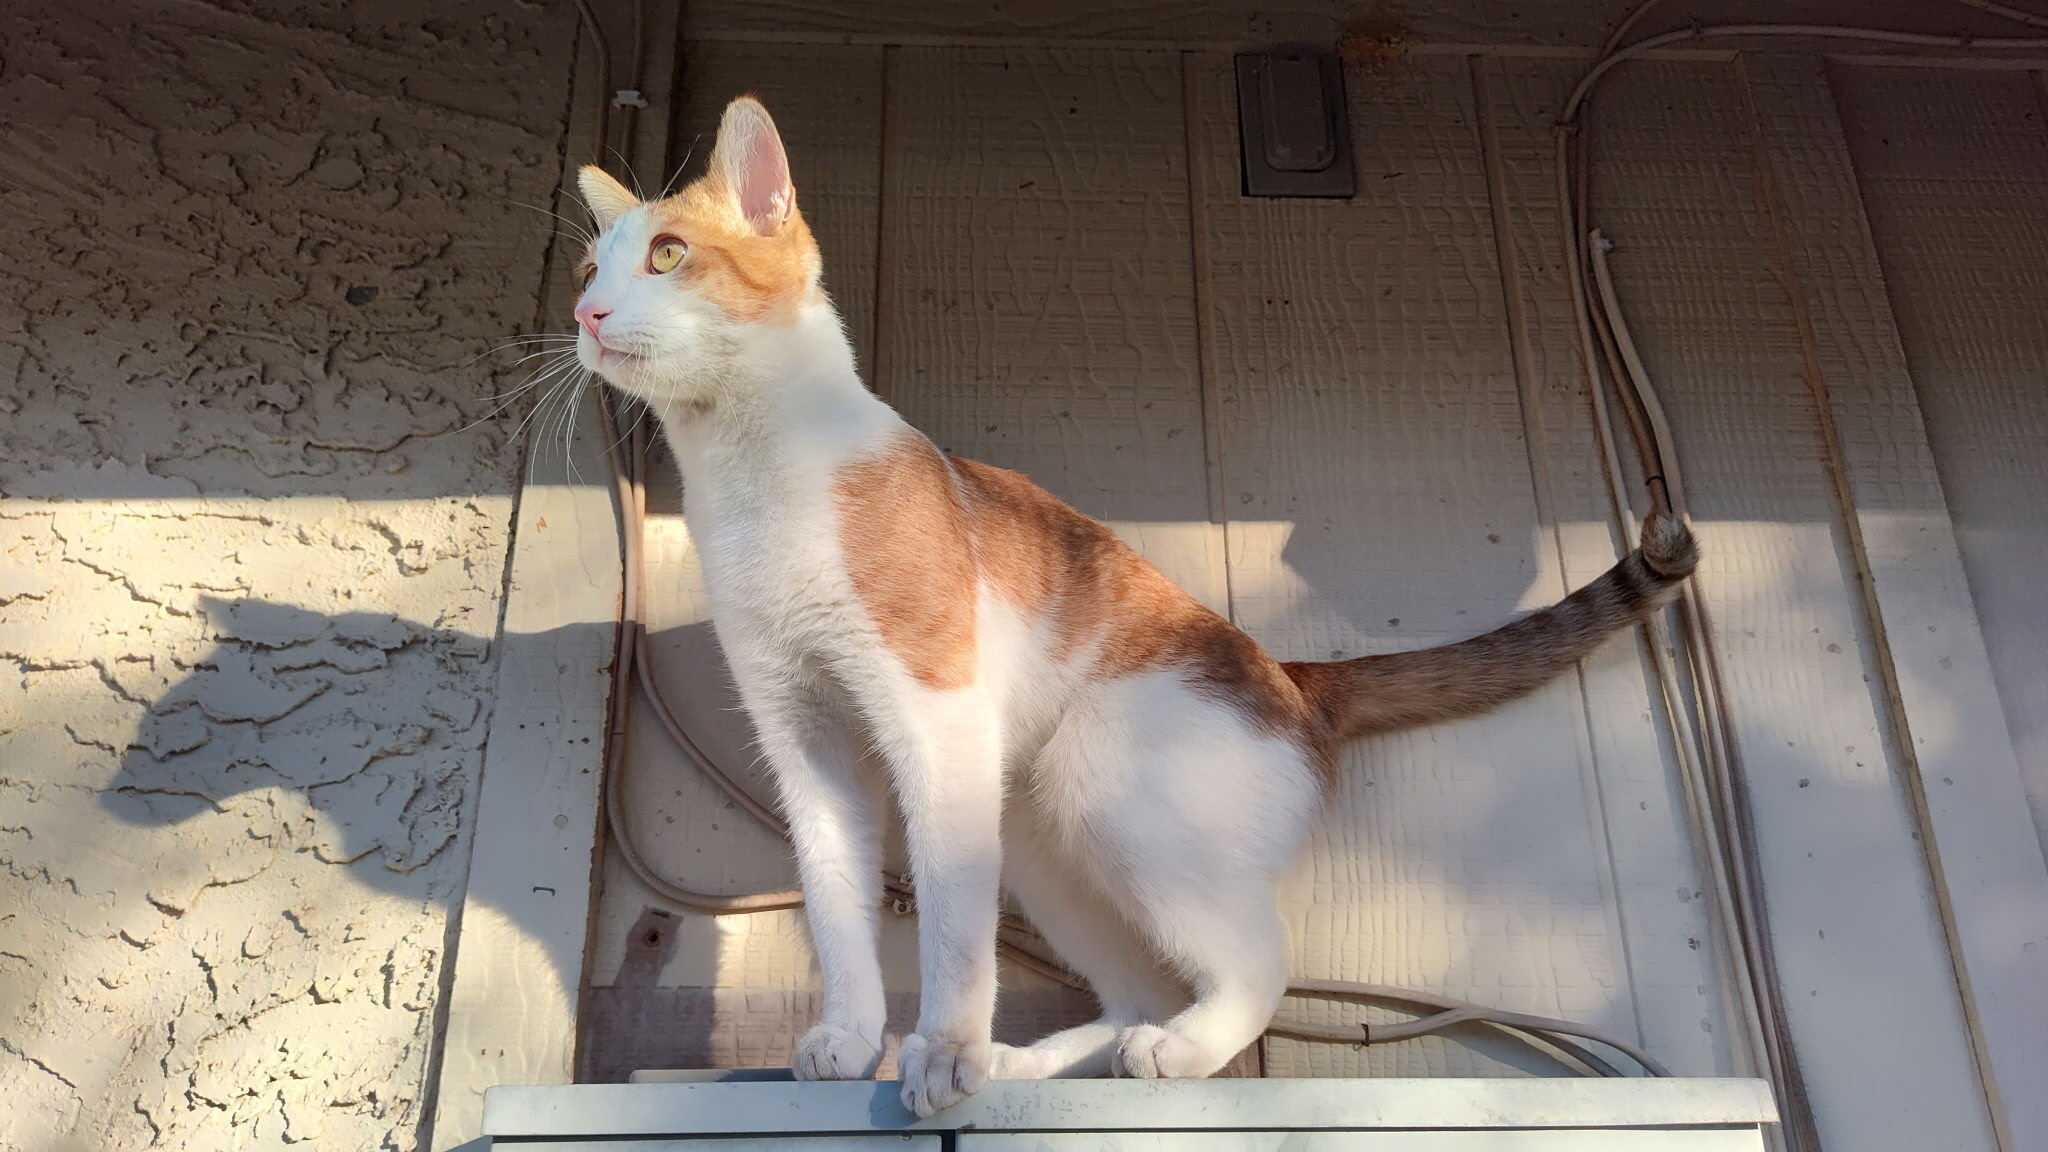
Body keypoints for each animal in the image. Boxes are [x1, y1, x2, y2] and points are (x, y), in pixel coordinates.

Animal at [569, 96, 1697, 1117]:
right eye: (589, 271)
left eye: (666, 256)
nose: (583, 314)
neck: (755, 480)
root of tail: (1292, 675)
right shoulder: (805, 738)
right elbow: (836, 896)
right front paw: (851, 1039)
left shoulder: (935, 723)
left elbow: (949, 928)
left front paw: (943, 1052)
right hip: (1035, 831)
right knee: (1138, 988)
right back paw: (1036, 1063)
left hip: (1097, 779)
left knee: (1256, 961)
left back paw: (1172, 1050)